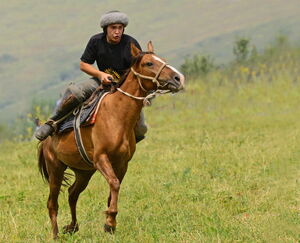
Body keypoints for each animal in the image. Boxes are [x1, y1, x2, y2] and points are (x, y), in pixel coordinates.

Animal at [38, 41, 185, 239]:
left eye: (162, 59)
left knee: (72, 194)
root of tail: (47, 140)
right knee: (52, 203)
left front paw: (110, 222)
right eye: (149, 63)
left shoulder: (122, 163)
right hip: (56, 169)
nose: (178, 78)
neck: (117, 115)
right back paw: (55, 235)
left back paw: (72, 226)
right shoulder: (101, 158)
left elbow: (114, 188)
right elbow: (114, 184)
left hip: (84, 172)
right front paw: (110, 222)